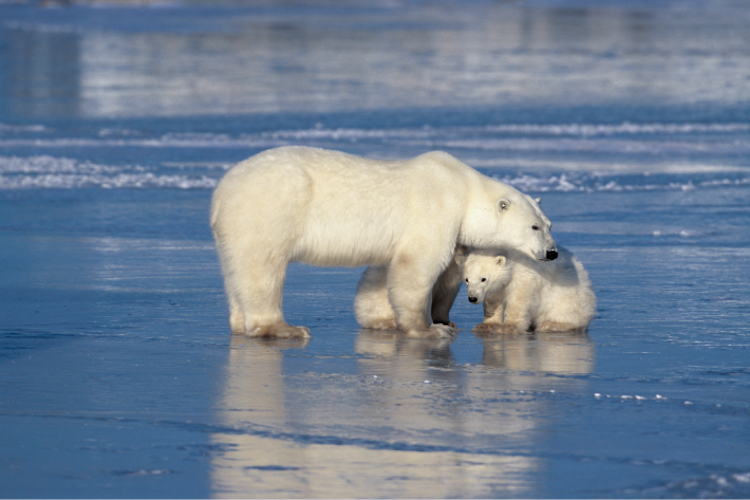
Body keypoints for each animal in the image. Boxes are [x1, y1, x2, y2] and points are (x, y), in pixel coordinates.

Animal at [210, 146, 557, 339]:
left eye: (549, 223)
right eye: (534, 226)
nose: (552, 252)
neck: (465, 189)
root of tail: (220, 193)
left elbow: (419, 273)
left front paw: (429, 319)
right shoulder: (435, 208)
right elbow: (418, 266)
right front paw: (429, 330)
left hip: (233, 230)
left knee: (235, 272)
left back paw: (239, 323)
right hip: (268, 210)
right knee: (262, 269)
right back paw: (285, 329)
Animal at [457, 246, 595, 334]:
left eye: (483, 279)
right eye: (466, 279)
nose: (472, 298)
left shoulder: (524, 274)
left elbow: (519, 300)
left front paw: (507, 328)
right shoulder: (496, 288)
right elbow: (493, 301)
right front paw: (486, 326)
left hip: (568, 286)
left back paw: (552, 324)